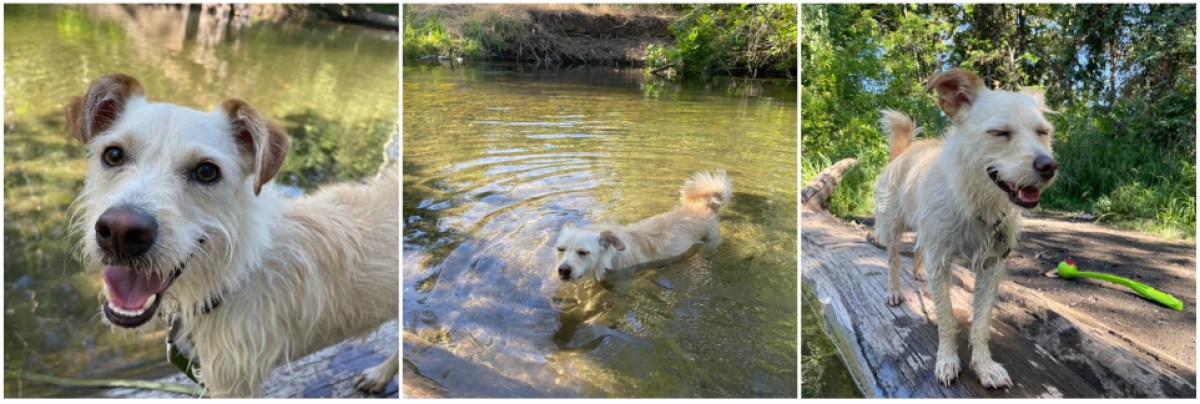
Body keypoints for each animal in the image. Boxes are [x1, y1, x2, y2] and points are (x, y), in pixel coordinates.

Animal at [552, 170, 729, 280]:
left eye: (583, 252)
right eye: (560, 249)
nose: (563, 270)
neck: (611, 256)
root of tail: (707, 206)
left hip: (710, 243)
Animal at [873, 68, 1060, 386]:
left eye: (1042, 132)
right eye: (1000, 133)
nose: (1049, 165)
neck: (976, 203)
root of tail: (907, 149)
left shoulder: (991, 267)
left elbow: (981, 323)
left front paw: (984, 366)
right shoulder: (940, 260)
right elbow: (946, 318)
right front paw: (947, 361)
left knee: (919, 250)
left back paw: (919, 273)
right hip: (893, 224)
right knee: (894, 259)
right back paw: (894, 291)